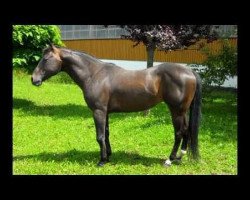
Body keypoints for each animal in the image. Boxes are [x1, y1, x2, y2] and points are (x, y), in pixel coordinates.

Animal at [31, 44, 201, 166]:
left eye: (46, 59)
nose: (33, 79)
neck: (94, 74)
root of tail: (189, 71)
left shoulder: (98, 111)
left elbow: (99, 136)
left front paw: (101, 161)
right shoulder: (105, 112)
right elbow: (106, 134)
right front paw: (108, 156)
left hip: (176, 111)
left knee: (179, 133)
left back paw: (169, 159)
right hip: (182, 111)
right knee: (186, 131)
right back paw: (180, 157)